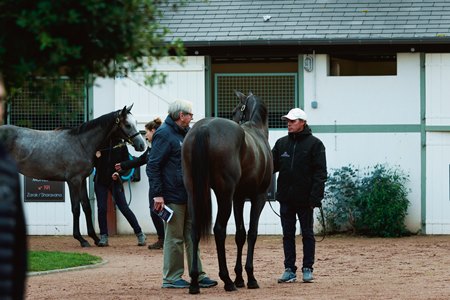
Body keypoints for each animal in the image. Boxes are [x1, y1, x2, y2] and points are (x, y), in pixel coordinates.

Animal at [0, 105, 144, 246]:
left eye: (136, 122)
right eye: (127, 125)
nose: (141, 145)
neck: (81, 144)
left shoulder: (82, 180)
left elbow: (86, 207)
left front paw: (95, 238)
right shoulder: (73, 181)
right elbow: (75, 208)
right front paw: (81, 239)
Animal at [181, 91, 272, 292]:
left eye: (234, 111)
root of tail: (203, 128)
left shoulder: (238, 198)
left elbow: (240, 234)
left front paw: (240, 277)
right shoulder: (258, 197)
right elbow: (252, 233)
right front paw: (250, 278)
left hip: (193, 192)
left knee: (194, 230)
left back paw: (194, 282)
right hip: (224, 194)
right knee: (219, 230)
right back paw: (227, 280)